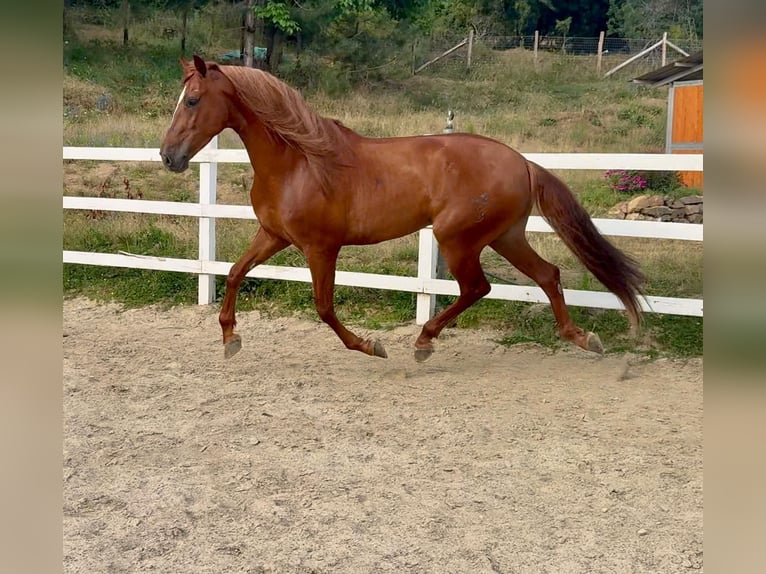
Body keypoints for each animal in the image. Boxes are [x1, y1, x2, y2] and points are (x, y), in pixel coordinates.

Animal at [160, 55, 644, 362]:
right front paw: (230, 337)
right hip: (505, 237)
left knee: (478, 287)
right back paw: (581, 338)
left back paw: (423, 342)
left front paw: (371, 346)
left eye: (193, 100)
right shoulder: (274, 235)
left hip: (457, 239)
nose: (168, 156)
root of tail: (523, 162)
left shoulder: (321, 248)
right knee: (548, 275)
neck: (299, 161)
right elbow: (234, 272)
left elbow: (324, 307)